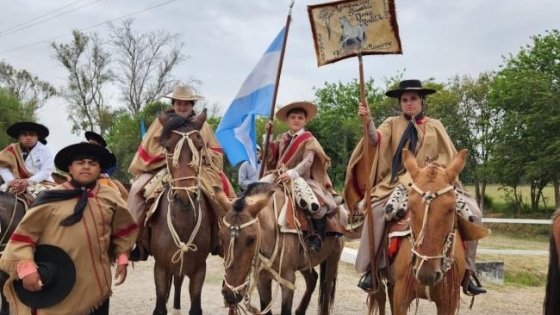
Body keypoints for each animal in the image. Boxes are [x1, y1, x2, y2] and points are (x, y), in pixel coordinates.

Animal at [149, 110, 214, 314]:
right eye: (168, 147)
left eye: (200, 147)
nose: (184, 197)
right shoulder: (161, 268)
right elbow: (160, 306)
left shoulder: (199, 269)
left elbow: (196, 307)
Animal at [214, 183, 344, 315]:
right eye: (221, 236)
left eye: (252, 239)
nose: (230, 295)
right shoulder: (262, 279)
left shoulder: (288, 281)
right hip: (305, 262)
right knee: (312, 279)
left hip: (333, 257)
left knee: (326, 287)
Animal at [368, 150, 476, 315]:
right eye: (411, 208)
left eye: (451, 209)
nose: (426, 274)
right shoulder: (402, 296)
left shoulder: (448, 302)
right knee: (380, 297)